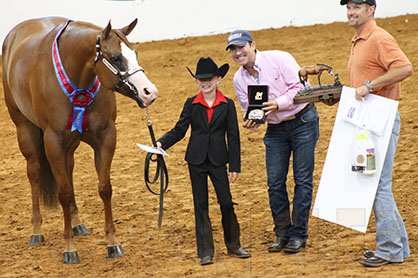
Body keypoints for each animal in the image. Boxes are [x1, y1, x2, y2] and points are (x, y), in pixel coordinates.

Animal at [1, 16, 158, 264]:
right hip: (25, 130)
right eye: (116, 58)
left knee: (69, 170)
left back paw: (77, 223)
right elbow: (63, 194)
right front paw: (69, 249)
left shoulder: (106, 137)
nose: (149, 92)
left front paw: (113, 243)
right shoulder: (53, 142)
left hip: (70, 144)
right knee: (34, 173)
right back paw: (37, 231)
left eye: (135, 52)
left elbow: (104, 188)